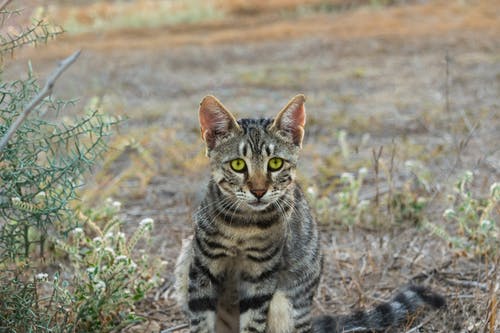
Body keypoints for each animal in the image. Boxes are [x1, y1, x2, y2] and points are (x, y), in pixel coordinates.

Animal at [173, 94, 446, 332]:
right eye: (238, 164)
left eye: (275, 163)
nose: (259, 191)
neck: (243, 225)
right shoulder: (202, 268)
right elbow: (201, 321)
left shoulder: (262, 275)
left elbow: (252, 323)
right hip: (185, 263)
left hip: (285, 304)